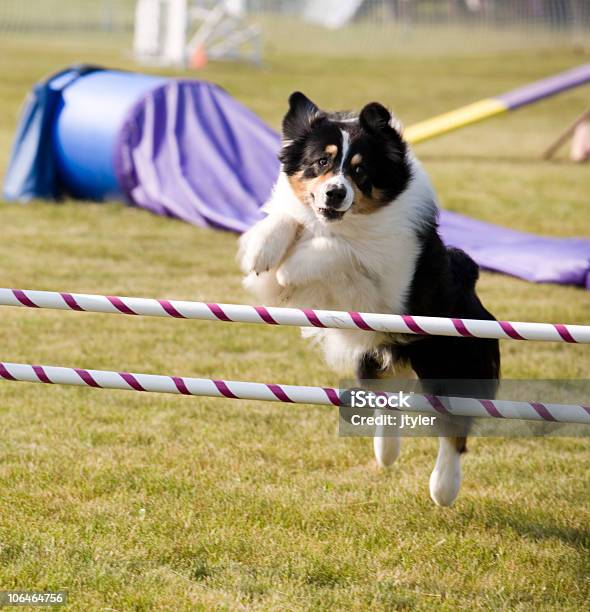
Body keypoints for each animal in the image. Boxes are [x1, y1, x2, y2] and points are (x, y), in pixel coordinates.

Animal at [238, 92, 502, 506]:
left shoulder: (390, 288)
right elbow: (291, 223)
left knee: (454, 425)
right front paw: (262, 248)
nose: (335, 193)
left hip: (449, 358)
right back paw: (386, 453)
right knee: (386, 404)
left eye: (360, 170)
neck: (347, 221)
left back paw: (443, 487)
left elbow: (344, 250)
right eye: (322, 161)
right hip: (373, 357)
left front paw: (295, 263)